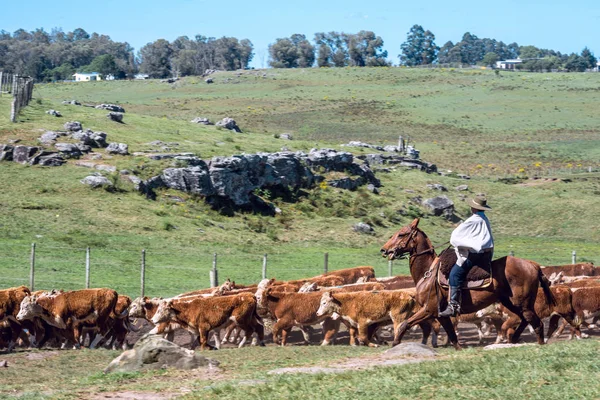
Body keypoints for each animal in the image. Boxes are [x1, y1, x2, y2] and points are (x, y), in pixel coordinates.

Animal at [382, 217, 556, 348]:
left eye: (401, 234)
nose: (384, 250)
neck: (428, 272)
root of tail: (533, 265)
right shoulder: (441, 315)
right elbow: (452, 336)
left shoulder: (428, 310)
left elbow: (404, 324)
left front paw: (395, 343)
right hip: (512, 303)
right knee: (526, 320)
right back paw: (514, 339)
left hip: (522, 304)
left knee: (537, 323)